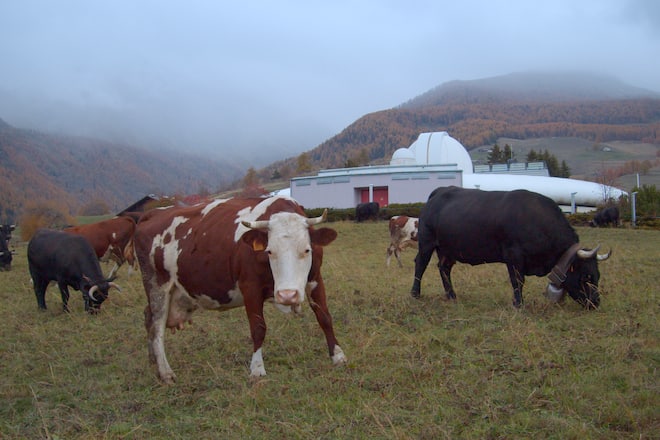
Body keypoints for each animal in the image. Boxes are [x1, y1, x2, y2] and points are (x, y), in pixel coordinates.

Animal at [134, 196, 346, 383]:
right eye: (269, 251)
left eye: (307, 249)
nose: (287, 295)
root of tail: (153, 213)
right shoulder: (250, 287)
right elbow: (258, 329)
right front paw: (257, 369)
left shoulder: (316, 279)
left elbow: (324, 317)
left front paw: (337, 355)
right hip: (156, 285)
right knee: (156, 327)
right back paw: (165, 372)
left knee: (147, 316)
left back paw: (153, 361)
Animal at [410, 186, 611, 309]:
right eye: (586, 276)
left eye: (598, 275)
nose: (596, 302)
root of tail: (441, 191)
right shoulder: (514, 256)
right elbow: (518, 280)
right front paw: (518, 304)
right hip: (427, 242)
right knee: (420, 264)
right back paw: (415, 293)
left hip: (448, 250)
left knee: (444, 268)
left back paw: (451, 295)